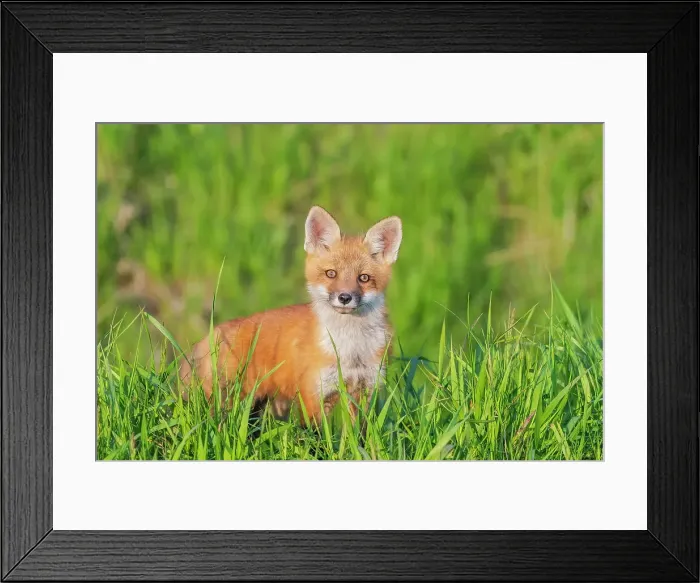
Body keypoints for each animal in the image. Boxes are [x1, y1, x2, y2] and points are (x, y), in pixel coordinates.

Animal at [178, 205, 402, 425]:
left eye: (363, 278)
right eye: (331, 274)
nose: (345, 297)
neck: (350, 351)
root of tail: (210, 335)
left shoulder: (364, 390)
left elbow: (359, 435)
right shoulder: (313, 395)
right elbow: (316, 436)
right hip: (228, 402)